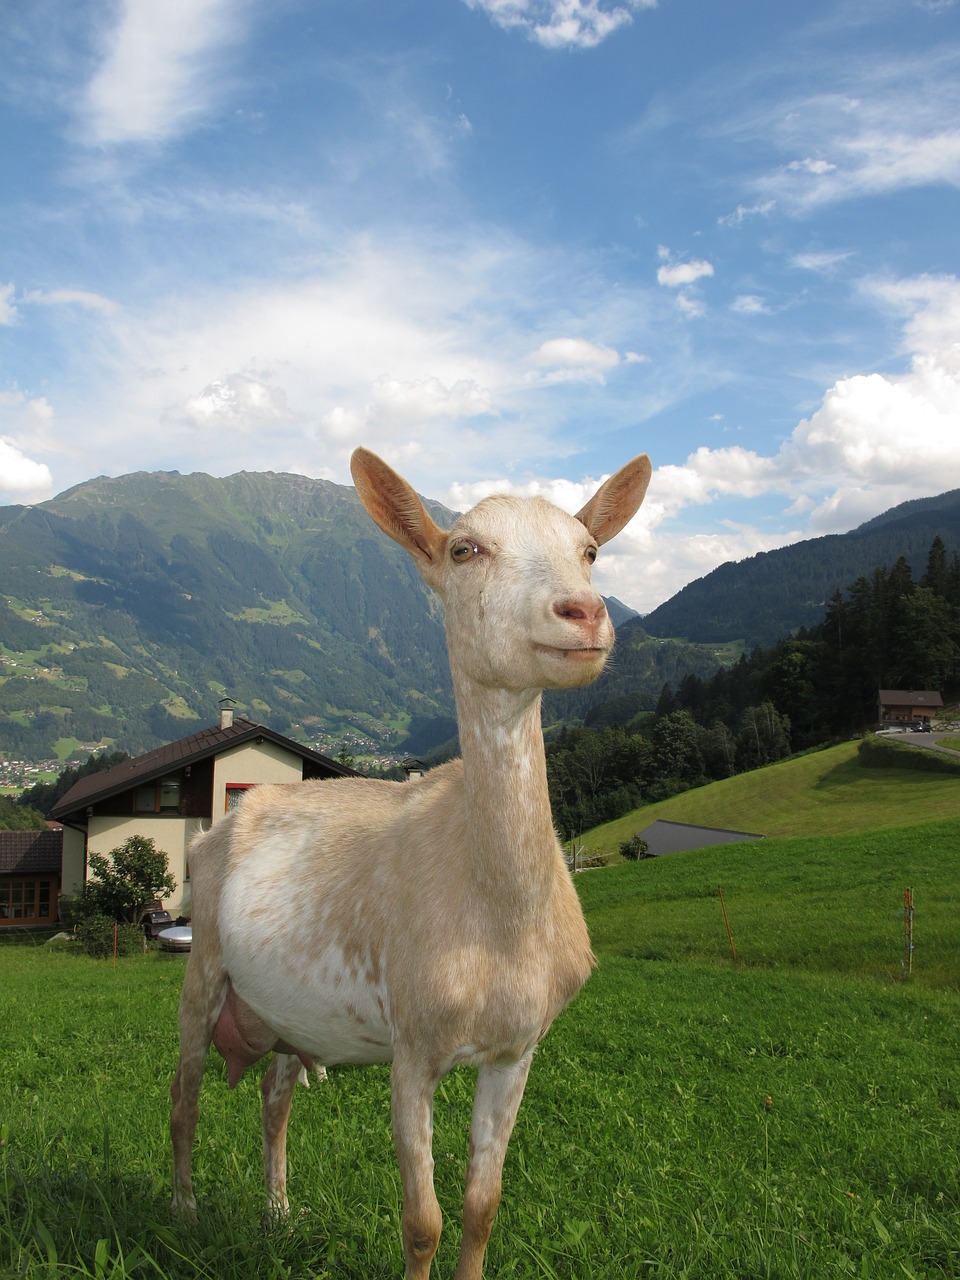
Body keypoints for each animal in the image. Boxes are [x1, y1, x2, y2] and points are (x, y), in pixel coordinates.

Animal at [171, 445, 655, 1274]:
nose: (584, 613)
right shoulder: (412, 1046)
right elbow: (421, 1219)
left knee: (273, 1099)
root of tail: (224, 820)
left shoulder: (517, 1049)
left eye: (590, 550)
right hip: (202, 961)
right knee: (185, 1095)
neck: (494, 918)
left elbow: (482, 1205)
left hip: (287, 1013)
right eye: (464, 550)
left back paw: (278, 1214)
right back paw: (184, 1212)